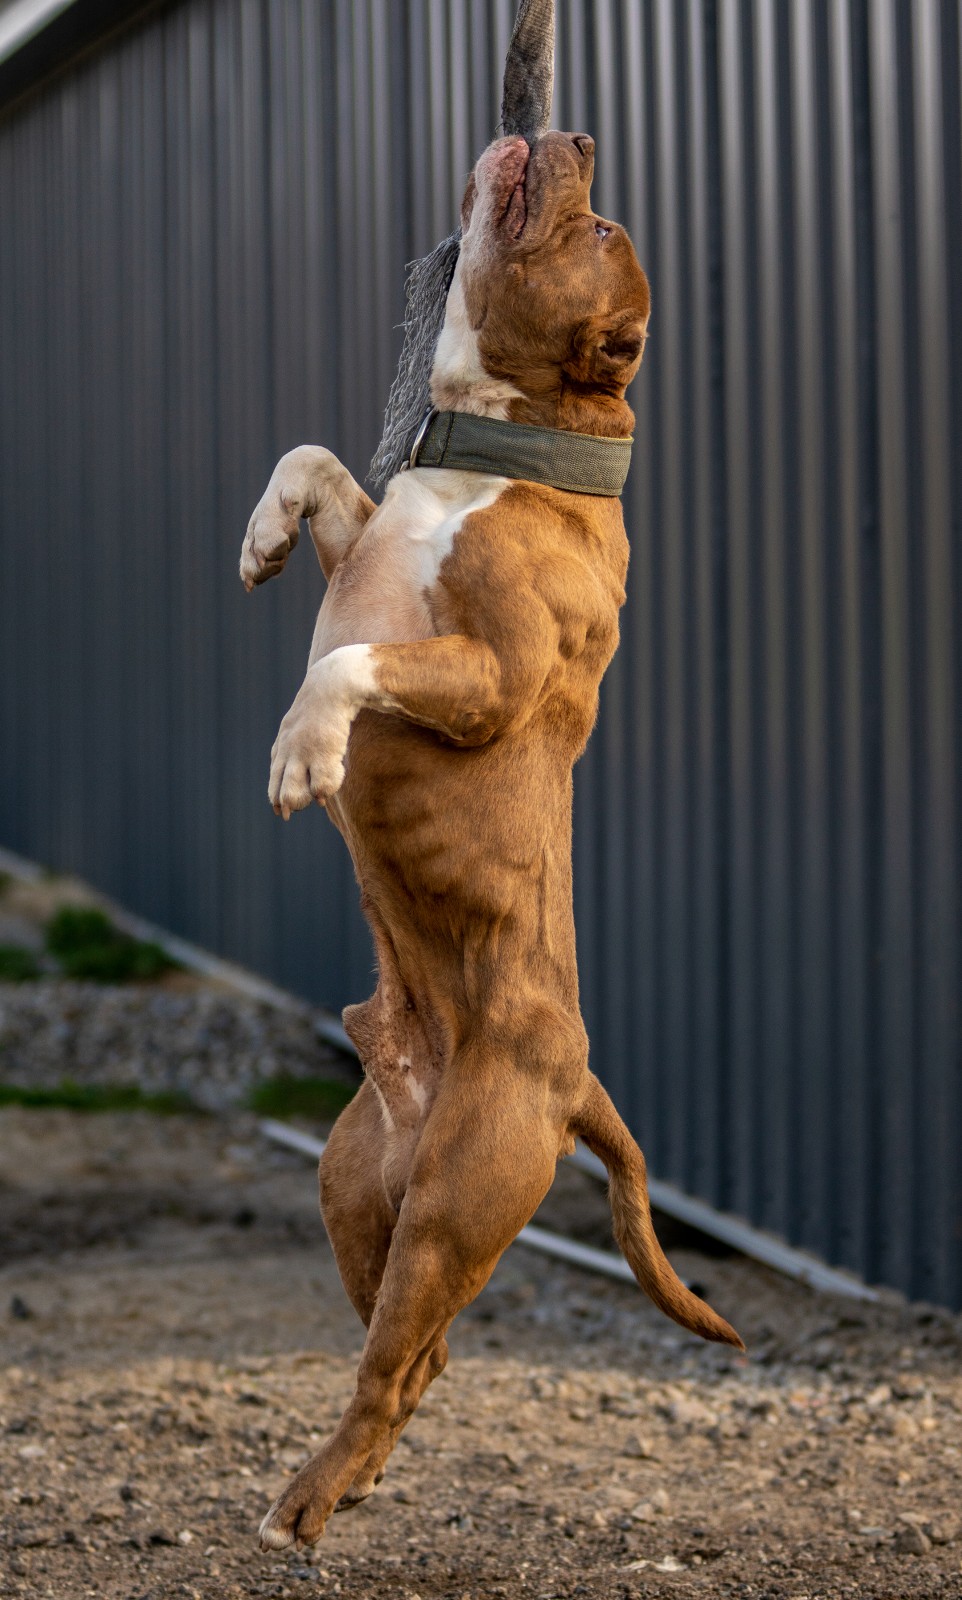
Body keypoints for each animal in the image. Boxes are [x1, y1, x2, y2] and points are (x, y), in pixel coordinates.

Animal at [240, 131, 742, 1555]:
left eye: (601, 222)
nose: (574, 137)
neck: (508, 450)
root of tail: (570, 1081)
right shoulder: (367, 544)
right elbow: (311, 458)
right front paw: (260, 534)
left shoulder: (489, 677)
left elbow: (345, 667)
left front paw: (304, 753)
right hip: (362, 1194)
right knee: (416, 1358)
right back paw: (344, 1479)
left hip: (459, 1198)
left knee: (397, 1363)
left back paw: (304, 1502)